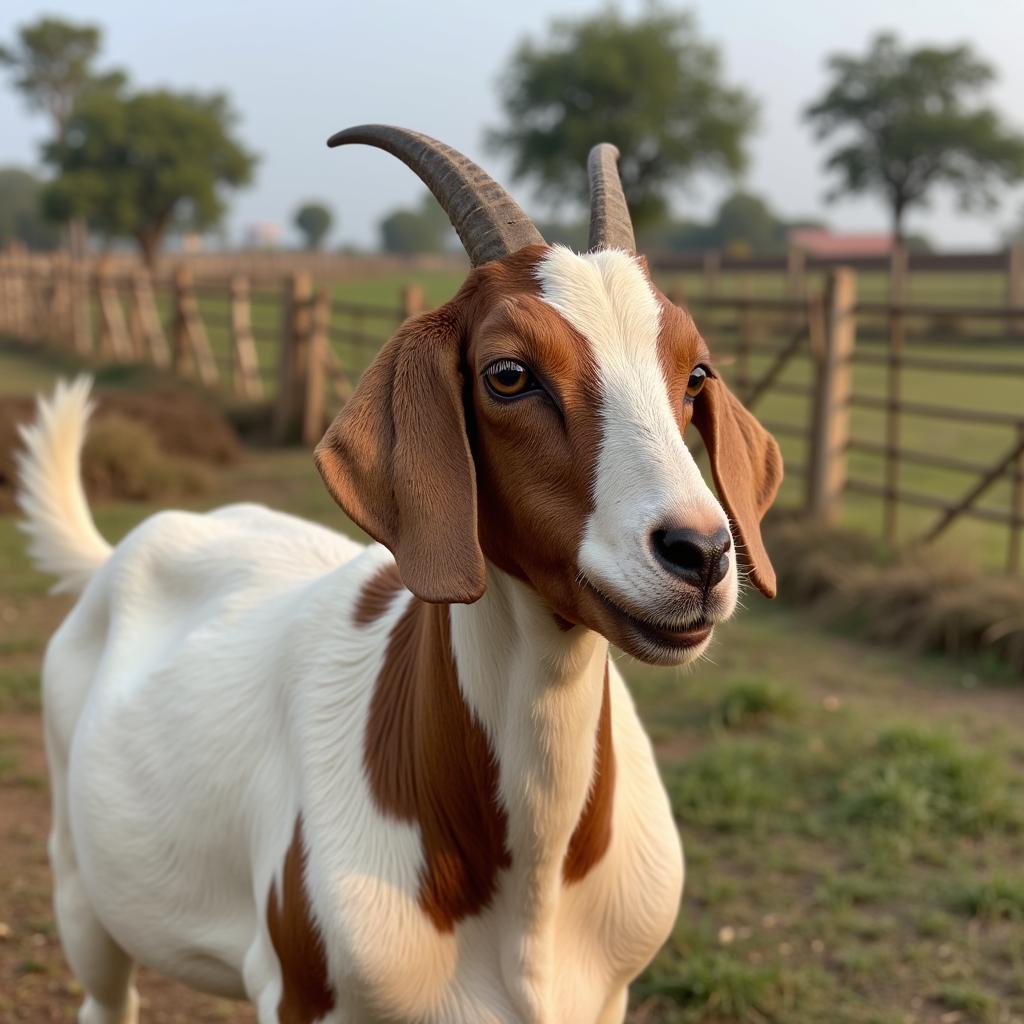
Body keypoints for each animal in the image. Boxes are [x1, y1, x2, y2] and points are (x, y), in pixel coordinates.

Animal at [19, 128, 778, 1024]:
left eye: (695, 374)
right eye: (509, 374)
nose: (700, 553)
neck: (532, 897)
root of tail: (113, 561)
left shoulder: (606, 998)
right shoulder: (303, 993)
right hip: (81, 890)